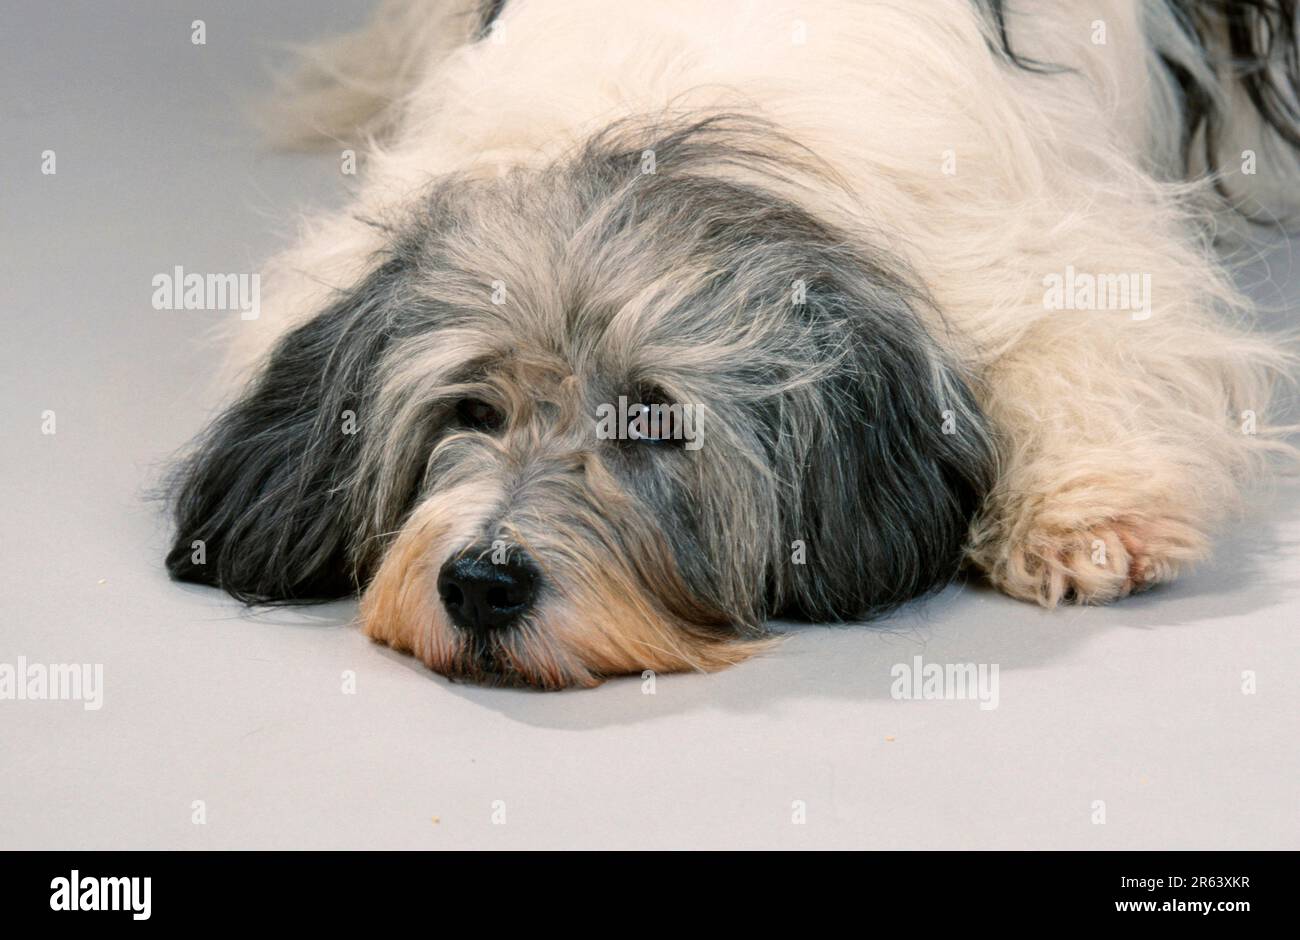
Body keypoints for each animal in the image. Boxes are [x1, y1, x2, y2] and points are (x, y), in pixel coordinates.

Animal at [165, 0, 1300, 691]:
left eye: (655, 421)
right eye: (470, 410)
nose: (483, 583)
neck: (666, 141)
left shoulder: (1039, 244)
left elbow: (1092, 340)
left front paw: (1085, 518)